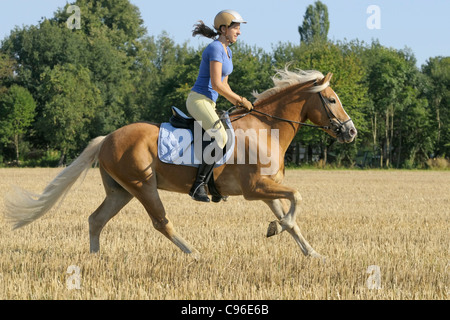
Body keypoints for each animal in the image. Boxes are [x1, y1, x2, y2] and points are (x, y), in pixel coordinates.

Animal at [3, 69, 356, 260]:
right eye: (332, 100)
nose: (351, 131)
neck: (265, 127)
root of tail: (106, 138)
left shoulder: (268, 189)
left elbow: (292, 217)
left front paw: (312, 252)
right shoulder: (256, 189)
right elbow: (297, 198)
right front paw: (276, 228)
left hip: (121, 190)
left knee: (96, 219)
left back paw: (96, 258)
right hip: (143, 185)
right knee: (161, 222)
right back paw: (194, 253)